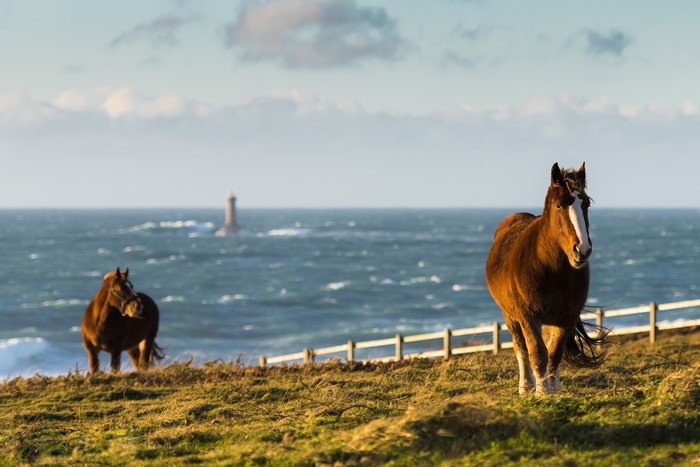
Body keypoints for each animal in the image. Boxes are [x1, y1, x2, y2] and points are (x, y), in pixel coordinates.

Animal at [485, 162, 608, 396]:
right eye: (559, 206)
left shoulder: (567, 318)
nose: (582, 250)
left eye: (586, 204)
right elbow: (536, 352)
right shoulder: (528, 317)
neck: (551, 270)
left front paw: (551, 389)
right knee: (521, 348)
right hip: (510, 316)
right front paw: (541, 391)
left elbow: (554, 352)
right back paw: (526, 386)